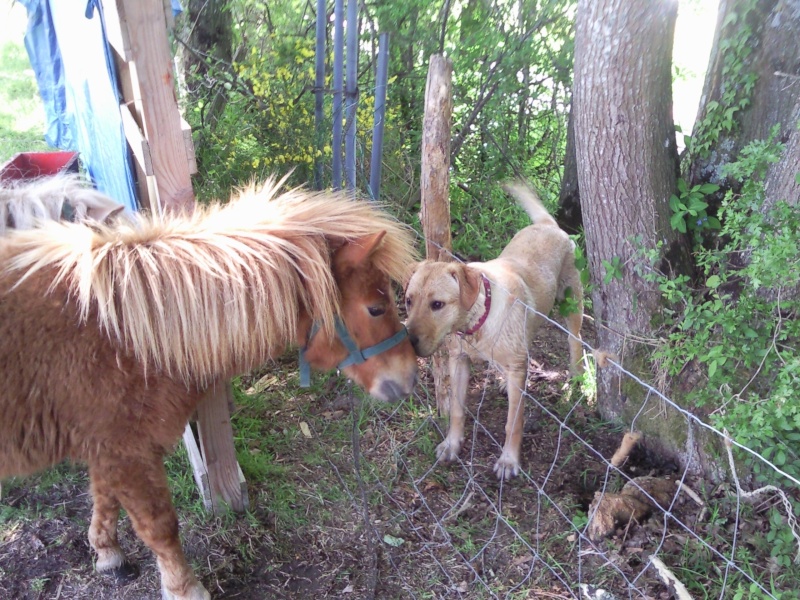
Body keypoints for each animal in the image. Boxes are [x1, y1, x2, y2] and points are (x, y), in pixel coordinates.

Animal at [0, 176, 422, 596]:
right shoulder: (128, 451)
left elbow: (104, 497)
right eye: (376, 308)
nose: (411, 376)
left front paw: (107, 553)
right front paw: (184, 588)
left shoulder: (107, 446)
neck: (123, 336)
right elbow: (159, 526)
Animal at [406, 183, 580, 478]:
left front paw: (509, 460)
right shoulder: (459, 361)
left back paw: (576, 379)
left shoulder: (514, 370)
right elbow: (457, 409)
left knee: (575, 343)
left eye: (437, 304)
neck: (477, 320)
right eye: (408, 301)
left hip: (572, 303)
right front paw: (452, 444)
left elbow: (514, 422)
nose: (407, 342)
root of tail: (548, 225)